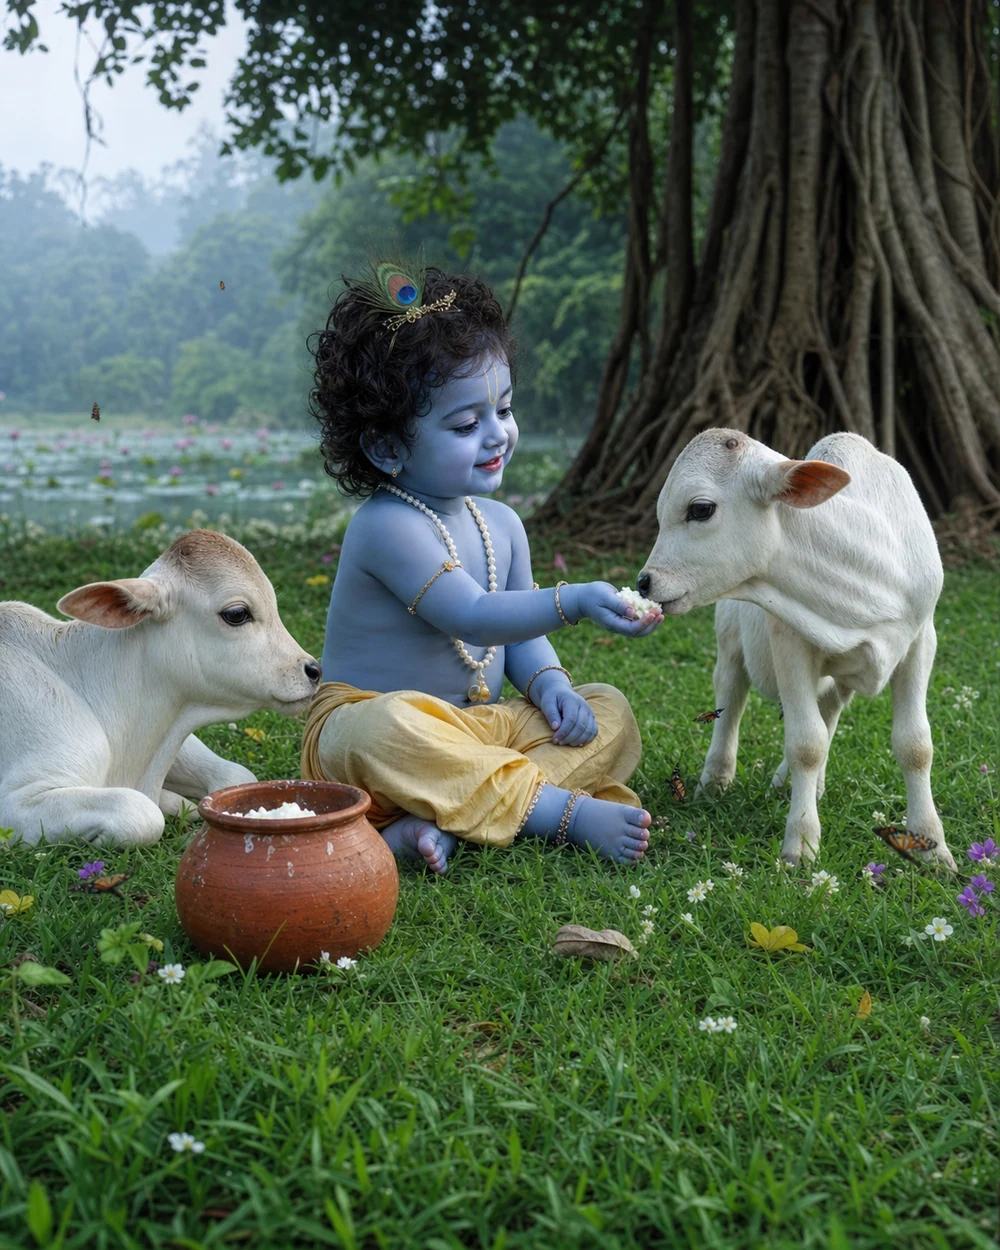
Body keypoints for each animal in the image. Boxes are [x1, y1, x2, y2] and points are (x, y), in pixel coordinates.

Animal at [637, 429, 955, 870]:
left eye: (700, 509)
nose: (644, 582)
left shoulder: (922, 639)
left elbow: (915, 745)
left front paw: (932, 845)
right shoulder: (789, 642)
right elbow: (807, 743)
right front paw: (801, 843)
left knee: (829, 710)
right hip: (730, 643)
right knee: (731, 701)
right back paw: (716, 779)